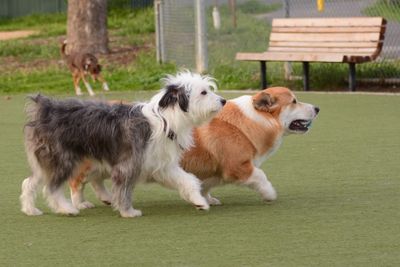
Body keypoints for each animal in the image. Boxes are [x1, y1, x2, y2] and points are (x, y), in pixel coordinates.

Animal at [20, 72, 227, 219]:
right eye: (203, 92)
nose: (223, 100)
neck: (165, 120)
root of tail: (47, 108)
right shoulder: (127, 165)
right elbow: (123, 191)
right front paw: (128, 212)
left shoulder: (162, 165)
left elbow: (188, 180)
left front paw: (199, 201)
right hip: (62, 160)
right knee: (51, 187)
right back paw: (66, 209)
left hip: (47, 161)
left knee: (29, 182)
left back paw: (30, 209)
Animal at [68, 88, 318, 209]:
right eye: (294, 101)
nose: (317, 108)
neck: (255, 120)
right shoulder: (238, 166)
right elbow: (261, 177)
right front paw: (269, 194)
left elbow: (203, 184)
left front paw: (207, 199)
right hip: (90, 165)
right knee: (77, 182)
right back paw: (80, 204)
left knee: (96, 181)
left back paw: (107, 198)